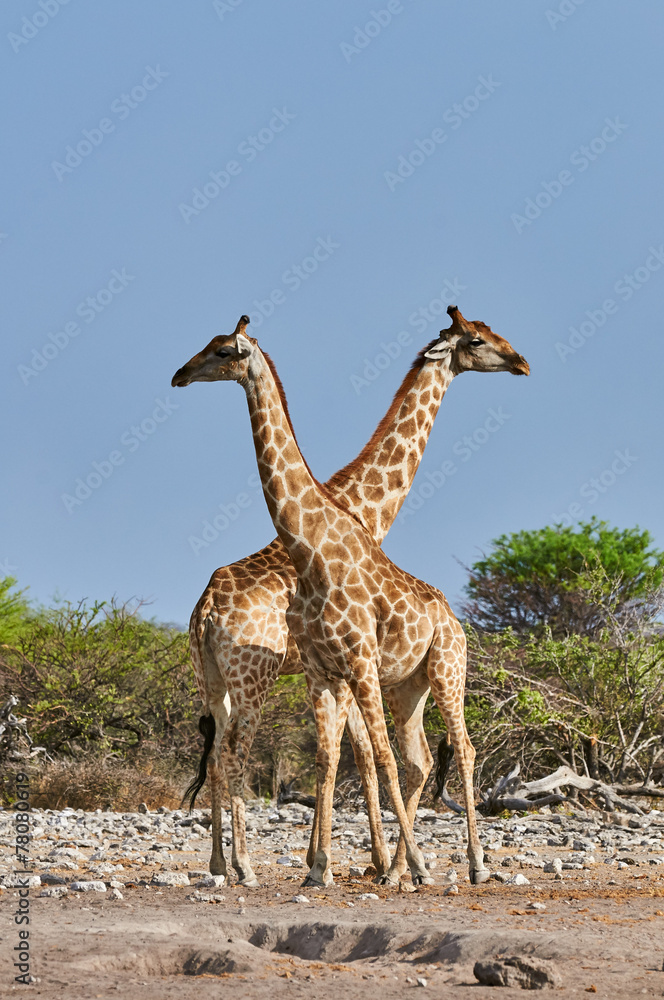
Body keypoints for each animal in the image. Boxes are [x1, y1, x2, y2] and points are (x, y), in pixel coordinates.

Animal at [172, 314, 529, 888]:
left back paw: (225, 863)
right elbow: (358, 753)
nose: (520, 361)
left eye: (221, 348)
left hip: (220, 679)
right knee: (237, 753)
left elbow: (347, 753)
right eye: (478, 339)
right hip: (254, 677)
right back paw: (244, 866)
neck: (359, 509)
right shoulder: (340, 667)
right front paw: (365, 862)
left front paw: (347, 861)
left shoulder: (344, 669)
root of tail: (205, 607)